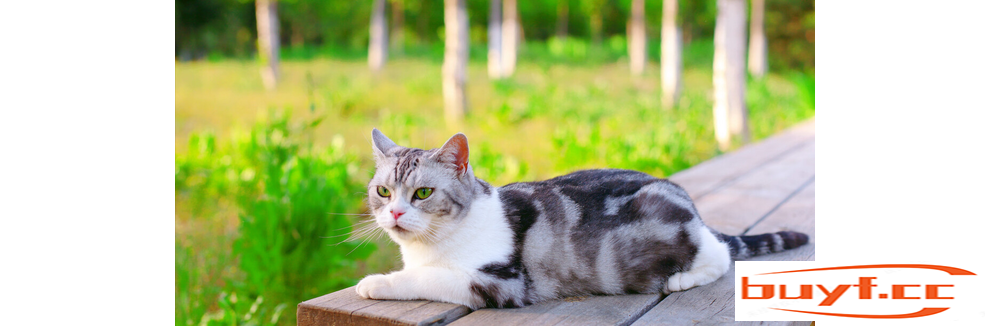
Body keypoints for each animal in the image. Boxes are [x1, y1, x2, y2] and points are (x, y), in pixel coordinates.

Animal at [354, 129, 808, 308]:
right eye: (383, 192)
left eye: (423, 193)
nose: (395, 212)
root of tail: (689, 205)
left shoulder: (500, 281)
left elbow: (426, 278)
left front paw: (377, 283)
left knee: (720, 255)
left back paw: (682, 278)